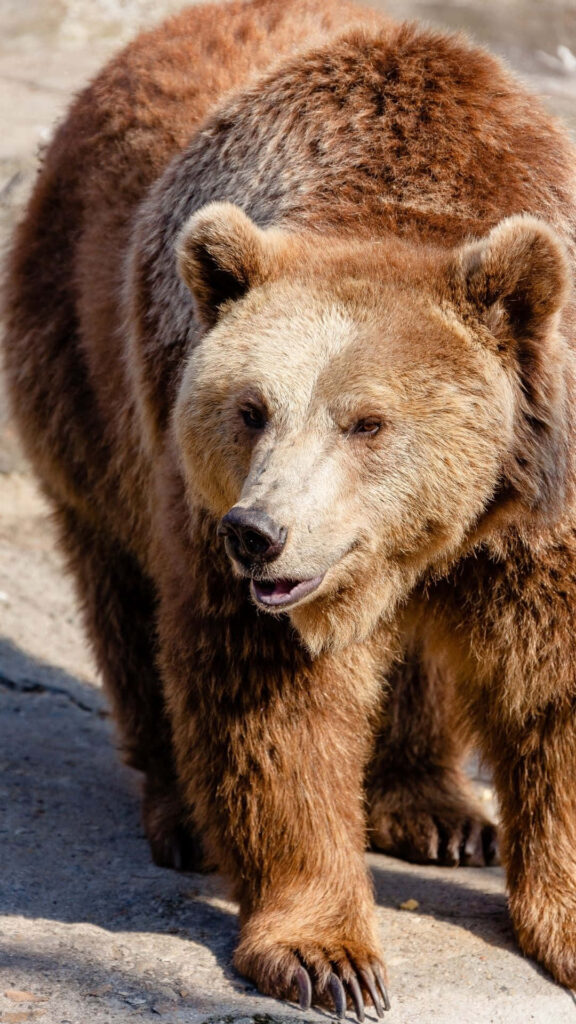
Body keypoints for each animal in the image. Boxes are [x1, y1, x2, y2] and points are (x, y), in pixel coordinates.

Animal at [4, 0, 576, 1014]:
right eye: (251, 408)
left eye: (367, 421)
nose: (259, 536)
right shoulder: (202, 496)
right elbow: (273, 707)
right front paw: (329, 957)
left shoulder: (536, 509)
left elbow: (551, 682)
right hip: (83, 380)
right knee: (127, 600)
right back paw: (182, 815)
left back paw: (438, 809)